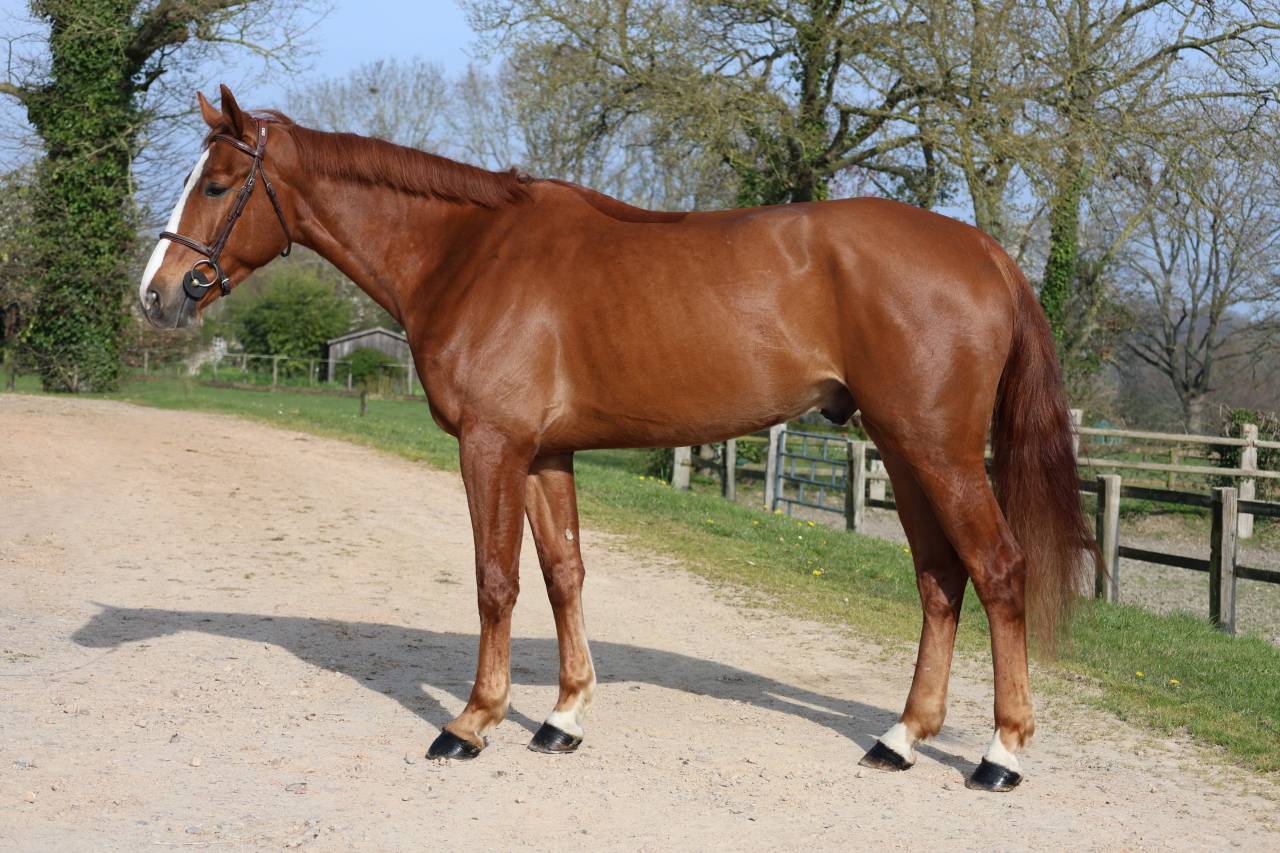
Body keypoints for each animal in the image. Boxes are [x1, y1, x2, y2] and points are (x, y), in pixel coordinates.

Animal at [140, 85, 1096, 793]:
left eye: (217, 184)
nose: (156, 293)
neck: (469, 251)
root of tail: (986, 252)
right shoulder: (543, 454)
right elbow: (563, 574)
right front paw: (561, 718)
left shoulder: (491, 446)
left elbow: (495, 582)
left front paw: (472, 721)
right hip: (901, 449)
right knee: (940, 580)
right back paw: (900, 736)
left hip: (937, 451)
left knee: (997, 570)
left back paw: (1001, 753)